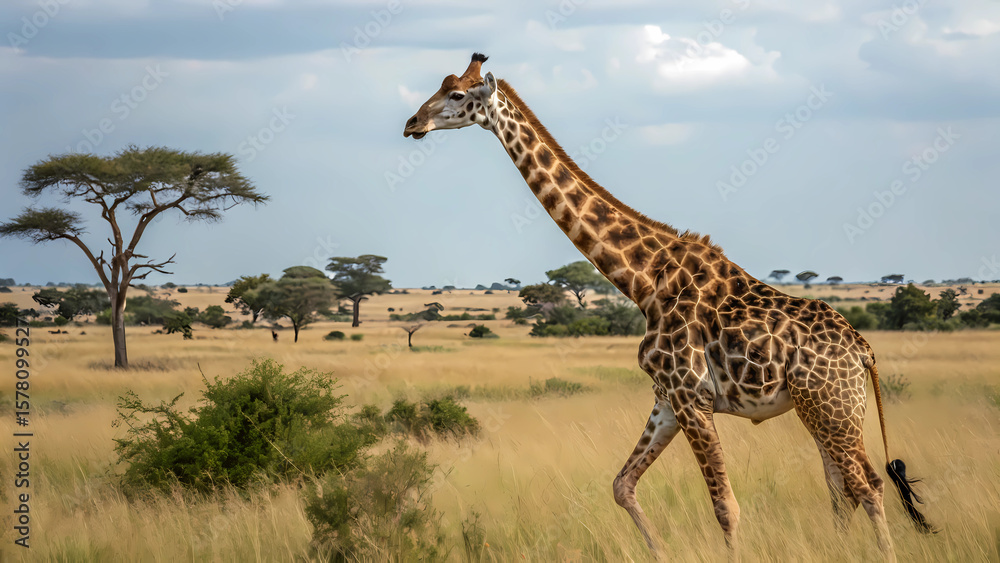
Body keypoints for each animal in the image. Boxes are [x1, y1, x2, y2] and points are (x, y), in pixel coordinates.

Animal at [403, 53, 934, 559]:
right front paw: (657, 551)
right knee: (841, 485)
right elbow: (622, 485)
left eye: (455, 94)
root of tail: (863, 349)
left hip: (831, 405)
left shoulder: (691, 396)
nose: (412, 123)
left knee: (867, 485)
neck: (642, 280)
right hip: (825, 409)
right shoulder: (667, 397)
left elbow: (725, 507)